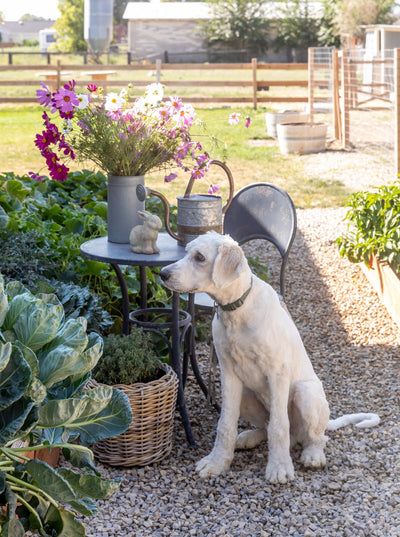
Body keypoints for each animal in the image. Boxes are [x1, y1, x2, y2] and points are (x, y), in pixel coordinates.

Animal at [161, 232, 380, 484]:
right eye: (187, 252)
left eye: (199, 257)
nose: (163, 274)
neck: (237, 309)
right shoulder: (228, 371)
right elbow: (226, 423)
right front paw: (218, 462)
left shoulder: (277, 372)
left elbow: (278, 426)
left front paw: (279, 467)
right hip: (247, 394)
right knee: (267, 428)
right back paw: (248, 437)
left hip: (306, 394)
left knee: (315, 437)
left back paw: (313, 455)